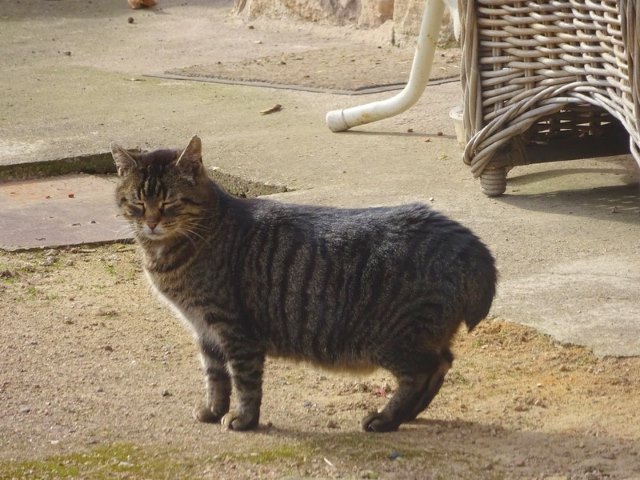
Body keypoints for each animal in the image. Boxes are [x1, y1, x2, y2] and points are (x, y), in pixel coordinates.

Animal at [112, 135, 498, 432]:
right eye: (136, 203)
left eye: (169, 203)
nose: (150, 223)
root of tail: (465, 238)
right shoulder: (204, 330)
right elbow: (215, 377)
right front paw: (212, 411)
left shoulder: (233, 328)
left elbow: (245, 381)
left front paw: (243, 420)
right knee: (444, 362)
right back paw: (408, 415)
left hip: (393, 338)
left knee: (424, 370)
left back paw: (386, 419)